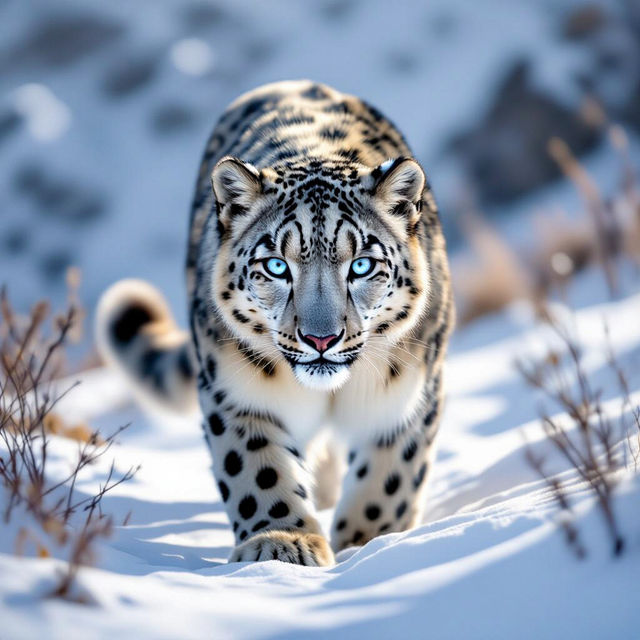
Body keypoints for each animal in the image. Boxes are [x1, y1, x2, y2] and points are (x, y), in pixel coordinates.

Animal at [96, 80, 454, 567]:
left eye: (361, 265)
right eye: (277, 266)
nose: (321, 339)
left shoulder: (409, 393)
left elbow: (392, 472)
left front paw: (370, 539)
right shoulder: (235, 392)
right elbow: (256, 467)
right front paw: (283, 543)